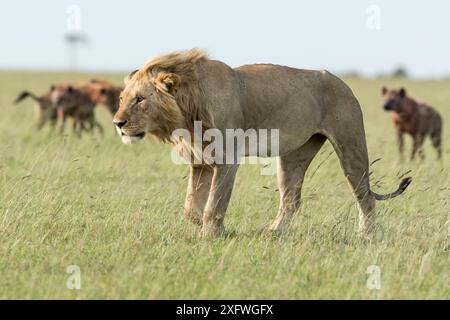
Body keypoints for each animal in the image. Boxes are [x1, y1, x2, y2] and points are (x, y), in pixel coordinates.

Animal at [112, 48, 412, 238]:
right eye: (121, 98)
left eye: (140, 99)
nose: (118, 123)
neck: (187, 113)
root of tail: (344, 84)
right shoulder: (200, 163)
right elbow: (191, 207)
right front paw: (206, 226)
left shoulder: (227, 160)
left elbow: (214, 203)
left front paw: (210, 234)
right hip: (293, 157)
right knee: (291, 200)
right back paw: (273, 232)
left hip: (350, 146)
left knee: (365, 196)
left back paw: (366, 235)